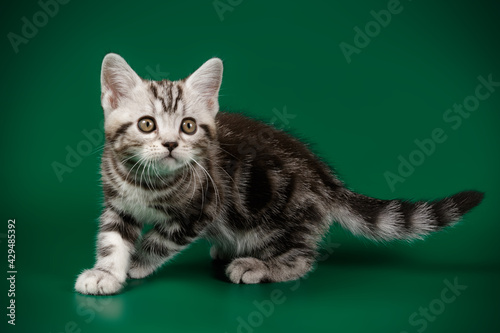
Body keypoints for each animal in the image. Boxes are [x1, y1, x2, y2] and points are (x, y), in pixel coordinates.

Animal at [74, 53, 484, 294]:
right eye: (147, 124)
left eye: (188, 126)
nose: (172, 144)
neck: (147, 180)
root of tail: (327, 180)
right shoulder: (117, 203)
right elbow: (112, 239)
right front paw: (106, 272)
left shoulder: (200, 209)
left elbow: (159, 239)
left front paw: (137, 264)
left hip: (281, 216)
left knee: (302, 257)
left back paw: (256, 265)